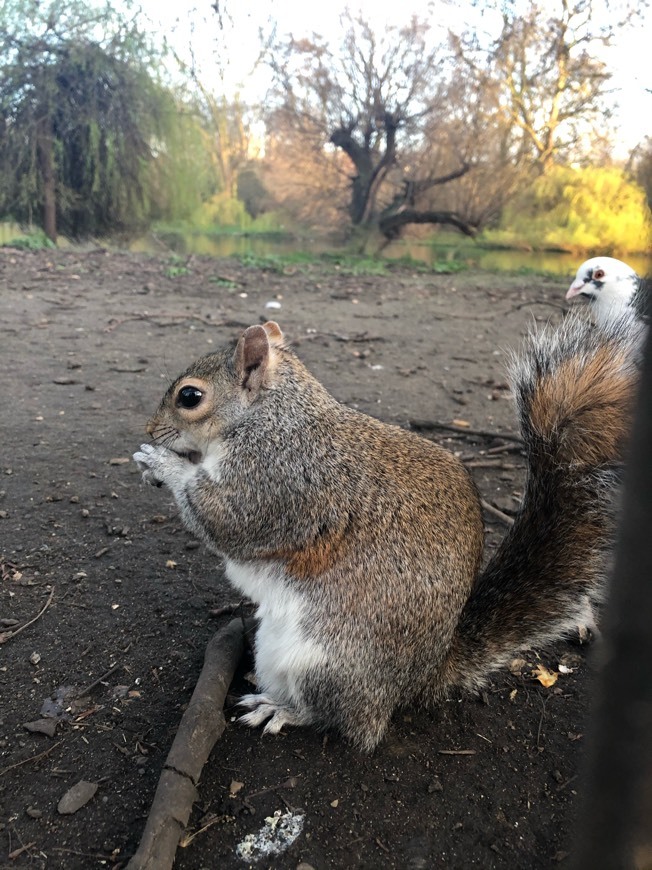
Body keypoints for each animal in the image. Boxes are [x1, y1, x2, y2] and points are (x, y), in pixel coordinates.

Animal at [132, 316, 636, 756]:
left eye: (190, 396)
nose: (151, 429)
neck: (271, 417)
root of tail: (422, 679)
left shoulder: (275, 480)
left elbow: (225, 519)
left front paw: (161, 463)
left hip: (326, 662)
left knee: (344, 720)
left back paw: (285, 708)